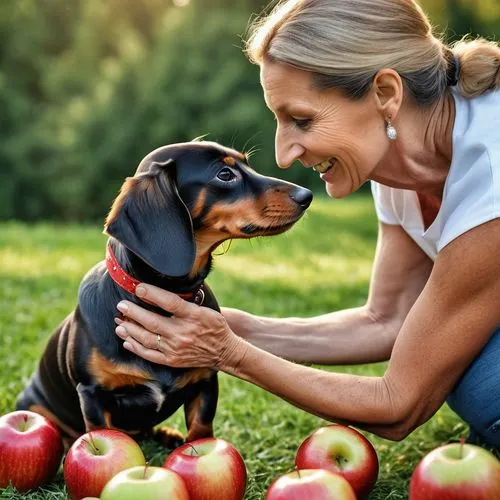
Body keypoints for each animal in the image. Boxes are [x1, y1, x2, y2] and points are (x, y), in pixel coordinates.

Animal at [16, 142, 312, 450]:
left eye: (248, 165)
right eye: (225, 174)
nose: (307, 195)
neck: (165, 295)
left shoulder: (206, 381)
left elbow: (201, 428)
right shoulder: (93, 394)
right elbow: (101, 433)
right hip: (35, 404)